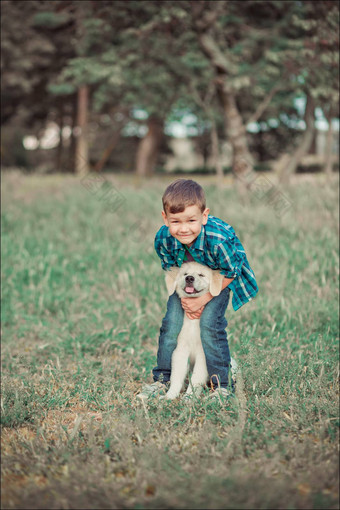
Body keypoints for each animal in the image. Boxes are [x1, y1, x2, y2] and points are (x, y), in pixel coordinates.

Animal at [165, 260, 236, 400]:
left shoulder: (203, 354)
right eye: (185, 274)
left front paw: (189, 398)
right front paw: (170, 396)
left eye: (201, 275)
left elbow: (196, 379)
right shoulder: (180, 350)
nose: (189, 278)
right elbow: (176, 376)